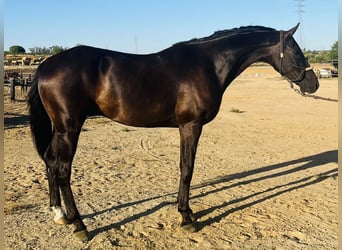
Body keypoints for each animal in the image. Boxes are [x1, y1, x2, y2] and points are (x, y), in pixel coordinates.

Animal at [26, 24, 318, 241]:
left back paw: (59, 214)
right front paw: (186, 217)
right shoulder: (190, 126)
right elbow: (187, 168)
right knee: (63, 169)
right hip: (69, 128)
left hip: (61, 129)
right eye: (296, 51)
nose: (313, 84)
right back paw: (80, 225)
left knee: (51, 161)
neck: (208, 64)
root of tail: (45, 66)